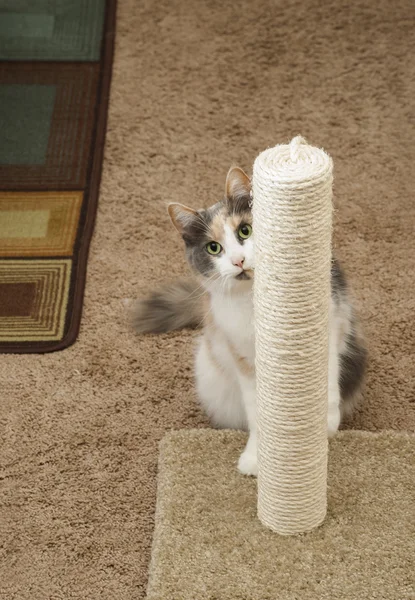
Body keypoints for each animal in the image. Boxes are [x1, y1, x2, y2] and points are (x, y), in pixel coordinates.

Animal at [132, 166, 368, 476]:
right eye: (213, 248)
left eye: (245, 230)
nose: (238, 261)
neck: (256, 304)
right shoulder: (244, 358)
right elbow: (258, 414)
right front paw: (257, 458)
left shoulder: (329, 328)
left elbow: (326, 383)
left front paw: (324, 426)